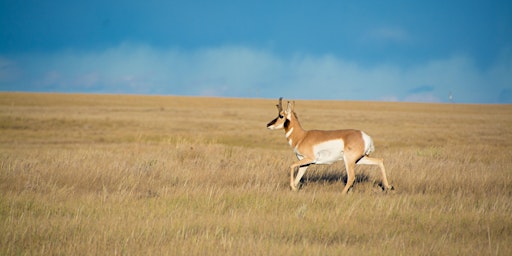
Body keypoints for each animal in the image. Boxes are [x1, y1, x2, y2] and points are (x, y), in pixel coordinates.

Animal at [266, 98, 394, 194]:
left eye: (281, 116)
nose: (268, 125)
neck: (302, 136)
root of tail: (364, 136)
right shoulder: (305, 163)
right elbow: (298, 177)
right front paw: (295, 188)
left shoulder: (310, 159)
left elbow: (292, 165)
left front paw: (293, 187)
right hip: (360, 159)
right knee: (379, 161)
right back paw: (388, 187)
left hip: (349, 161)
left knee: (351, 177)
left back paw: (341, 193)